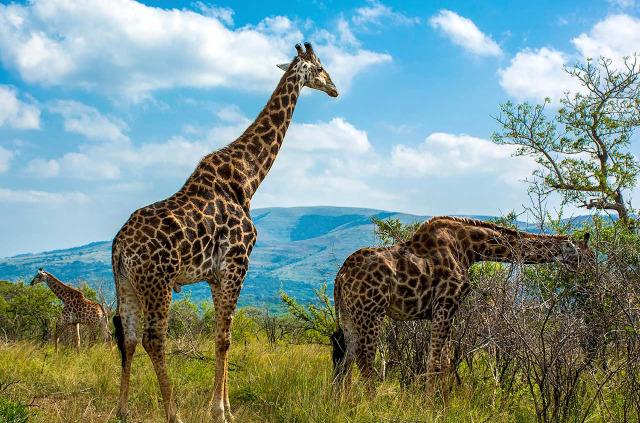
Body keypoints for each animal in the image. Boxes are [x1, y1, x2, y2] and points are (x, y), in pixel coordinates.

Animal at [110, 42, 340, 423]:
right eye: (320, 68)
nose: (335, 89)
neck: (248, 178)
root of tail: (118, 247)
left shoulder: (216, 275)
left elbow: (223, 335)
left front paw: (227, 407)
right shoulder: (237, 264)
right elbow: (224, 338)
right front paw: (217, 410)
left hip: (126, 284)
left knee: (127, 338)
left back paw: (122, 410)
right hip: (157, 282)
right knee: (153, 339)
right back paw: (173, 413)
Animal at [332, 219, 592, 400]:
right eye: (585, 255)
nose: (593, 272)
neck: (469, 249)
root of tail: (341, 275)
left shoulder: (446, 309)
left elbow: (445, 363)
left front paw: (444, 408)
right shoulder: (446, 303)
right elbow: (434, 363)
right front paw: (429, 407)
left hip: (349, 314)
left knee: (346, 359)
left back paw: (345, 404)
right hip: (372, 312)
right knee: (365, 360)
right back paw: (371, 402)